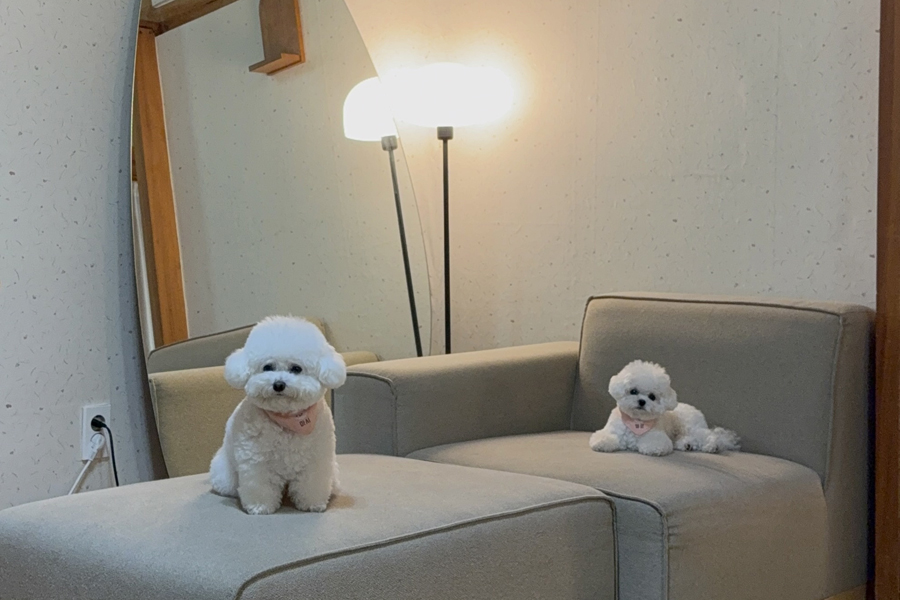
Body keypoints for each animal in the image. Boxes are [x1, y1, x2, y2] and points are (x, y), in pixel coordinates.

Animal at [209, 316, 346, 514]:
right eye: (268, 367)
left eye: (296, 368)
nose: (279, 384)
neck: (287, 420)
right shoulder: (257, 462)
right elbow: (260, 485)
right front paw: (260, 506)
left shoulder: (316, 460)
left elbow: (312, 483)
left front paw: (312, 504)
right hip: (225, 473)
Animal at [589, 360, 740, 456]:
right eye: (633, 391)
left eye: (652, 396)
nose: (642, 401)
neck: (637, 421)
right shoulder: (611, 430)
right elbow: (604, 437)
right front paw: (602, 444)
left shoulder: (657, 436)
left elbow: (655, 444)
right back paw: (687, 445)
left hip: (690, 426)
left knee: (708, 435)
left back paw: (713, 446)